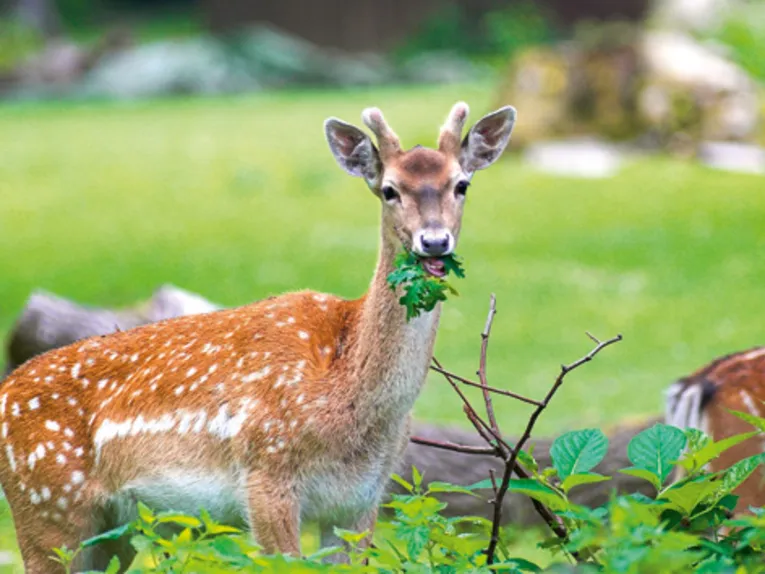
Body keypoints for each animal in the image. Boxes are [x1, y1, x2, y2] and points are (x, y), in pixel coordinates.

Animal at [0, 101, 516, 572]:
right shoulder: (266, 472)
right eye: (389, 190)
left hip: (114, 527)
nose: (434, 241)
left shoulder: (363, 497)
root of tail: (6, 388)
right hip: (45, 505)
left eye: (462, 184)